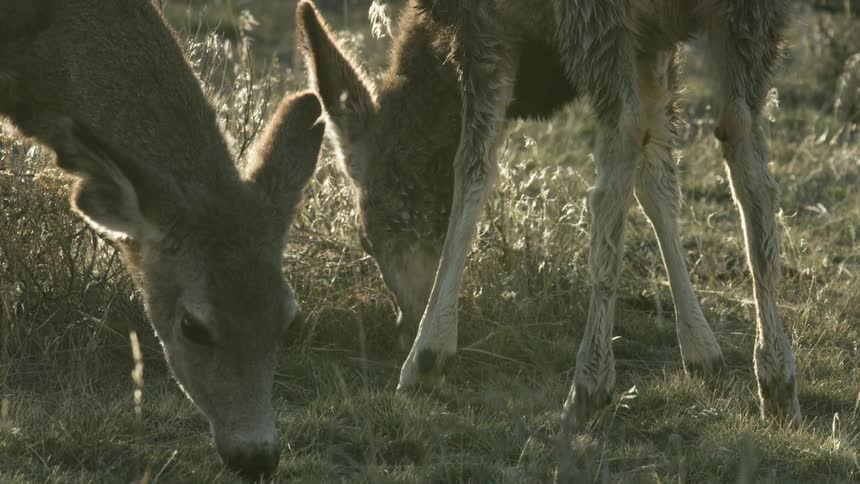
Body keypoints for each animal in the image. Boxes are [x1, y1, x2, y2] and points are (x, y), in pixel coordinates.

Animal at [297, 0, 801, 430]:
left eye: (366, 236)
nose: (404, 319)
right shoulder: (655, 42)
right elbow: (657, 181)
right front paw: (701, 347)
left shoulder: (484, 26)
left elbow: (473, 168)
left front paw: (429, 350)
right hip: (752, 18)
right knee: (744, 143)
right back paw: (776, 373)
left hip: (593, 17)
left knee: (622, 143)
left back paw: (590, 380)